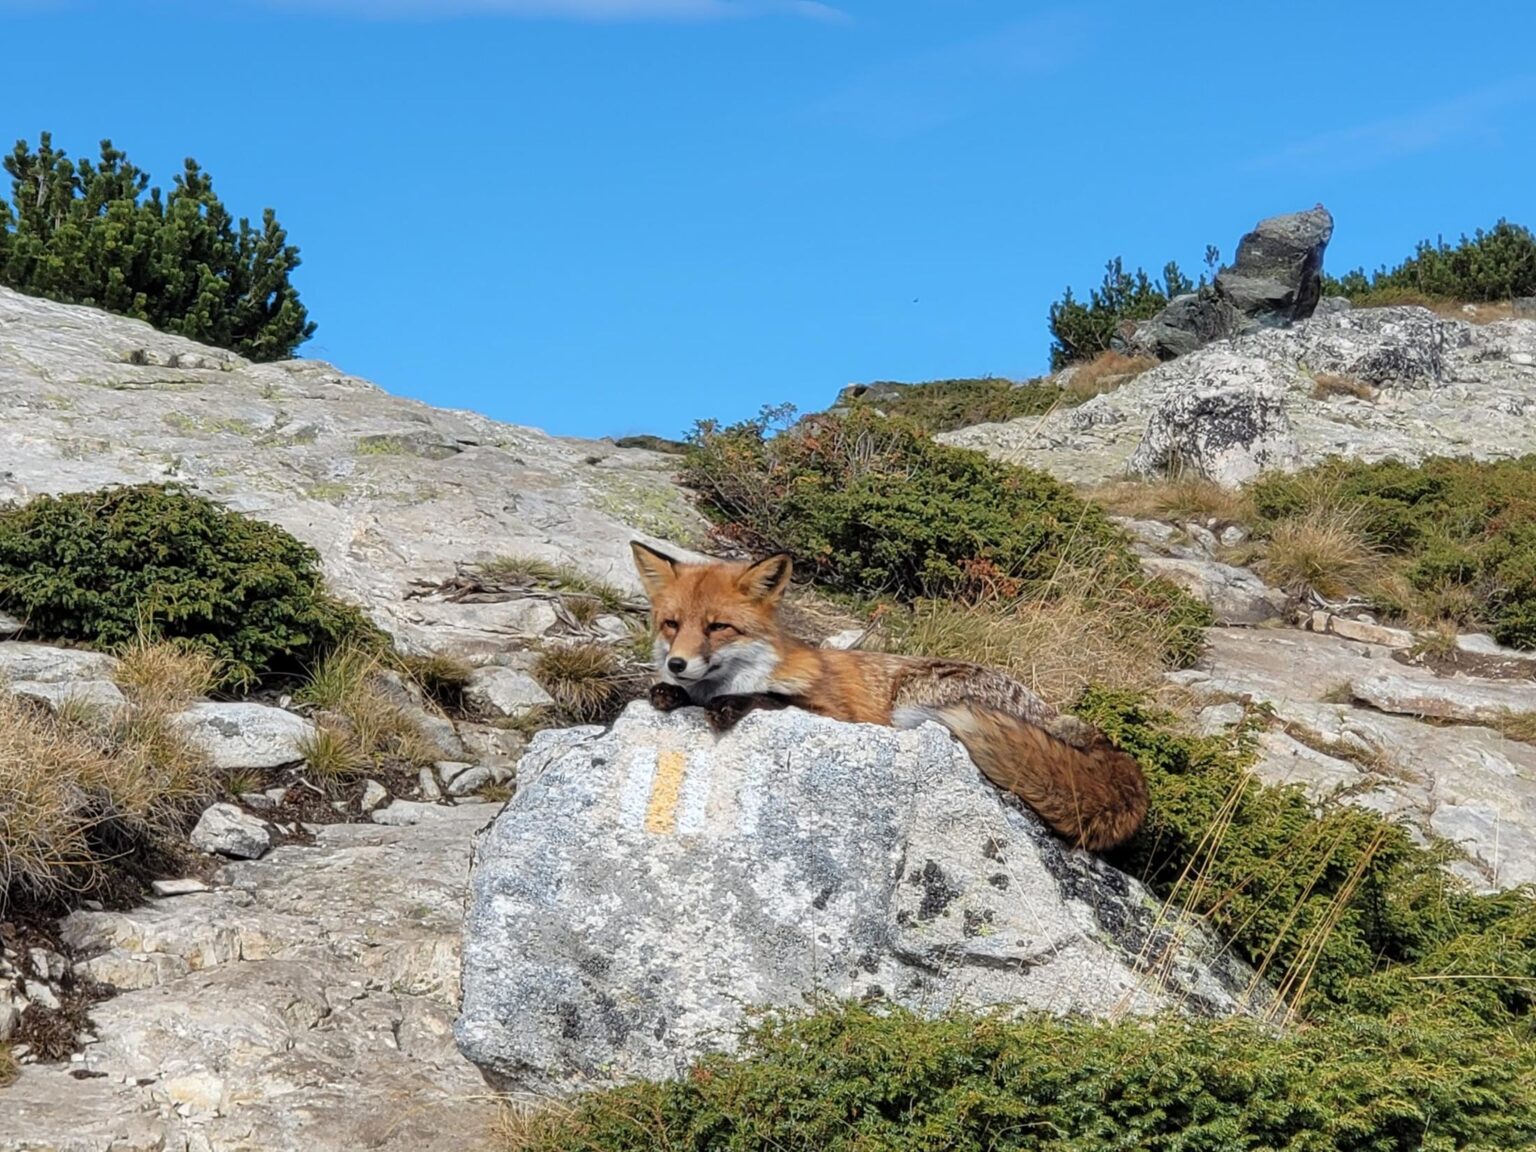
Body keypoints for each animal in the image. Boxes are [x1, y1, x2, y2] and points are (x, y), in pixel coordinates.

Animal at [630, 541, 1148, 852]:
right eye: (671, 624)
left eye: (718, 627)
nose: (677, 664)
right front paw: (670, 692)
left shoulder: (838, 711)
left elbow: (771, 698)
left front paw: (727, 704)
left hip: (915, 703)